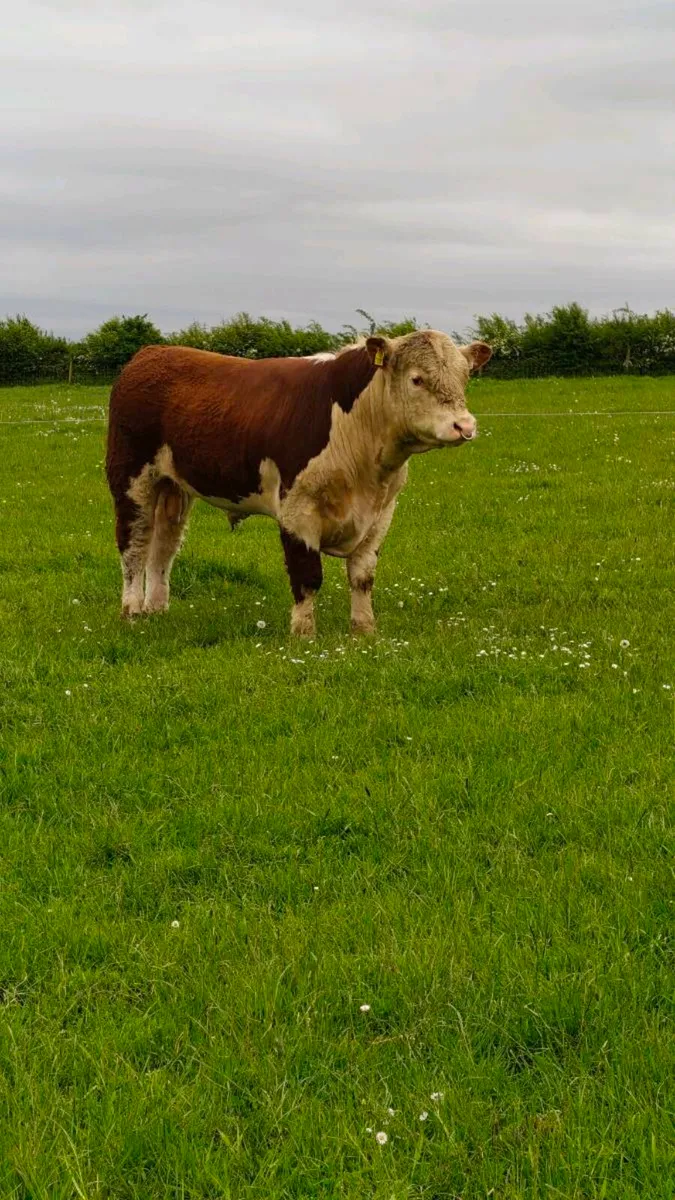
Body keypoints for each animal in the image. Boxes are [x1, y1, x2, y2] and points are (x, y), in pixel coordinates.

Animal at [105, 330, 491, 636]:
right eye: (416, 379)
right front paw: (304, 634)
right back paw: (132, 611)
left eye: (465, 377)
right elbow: (307, 576)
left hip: (174, 487)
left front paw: (364, 631)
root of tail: (152, 352)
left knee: (163, 546)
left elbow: (362, 576)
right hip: (131, 478)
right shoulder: (298, 510)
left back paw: (156, 608)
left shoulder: (381, 513)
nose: (464, 425)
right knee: (134, 544)